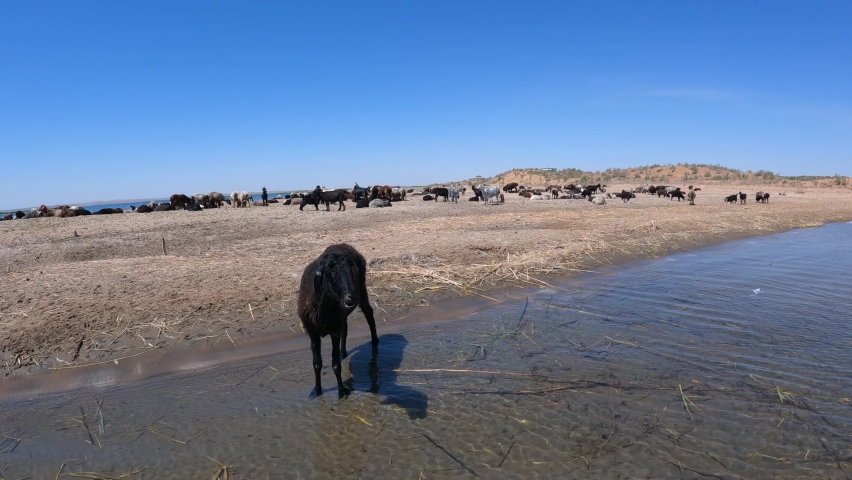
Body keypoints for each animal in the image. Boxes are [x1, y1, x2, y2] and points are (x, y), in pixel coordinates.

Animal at [298, 243, 379, 396]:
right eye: (328, 269)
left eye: (351, 268)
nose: (350, 297)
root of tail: (343, 245)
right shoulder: (312, 331)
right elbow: (317, 363)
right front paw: (318, 390)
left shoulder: (334, 331)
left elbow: (335, 364)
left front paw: (341, 391)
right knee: (345, 328)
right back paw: (343, 351)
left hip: (362, 290)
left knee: (369, 313)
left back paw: (375, 342)